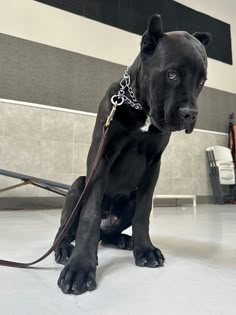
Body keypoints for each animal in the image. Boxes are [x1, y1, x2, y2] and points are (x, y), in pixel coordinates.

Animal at [54, 14, 210, 296]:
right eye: (171, 74)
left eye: (201, 81)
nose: (190, 114)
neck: (140, 105)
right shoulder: (101, 156)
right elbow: (90, 216)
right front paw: (80, 267)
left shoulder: (153, 164)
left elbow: (144, 213)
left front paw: (144, 249)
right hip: (78, 186)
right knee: (67, 229)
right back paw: (64, 249)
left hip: (129, 199)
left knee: (107, 234)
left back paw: (123, 240)